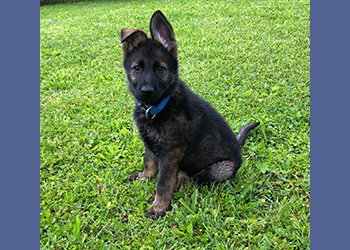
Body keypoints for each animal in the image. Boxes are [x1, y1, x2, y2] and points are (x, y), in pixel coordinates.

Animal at [120, 10, 260, 220]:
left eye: (160, 69)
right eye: (137, 68)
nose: (146, 91)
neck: (159, 107)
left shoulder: (171, 152)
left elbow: (163, 182)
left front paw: (158, 207)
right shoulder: (150, 142)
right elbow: (149, 161)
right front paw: (145, 177)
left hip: (220, 169)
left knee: (191, 176)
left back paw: (180, 180)